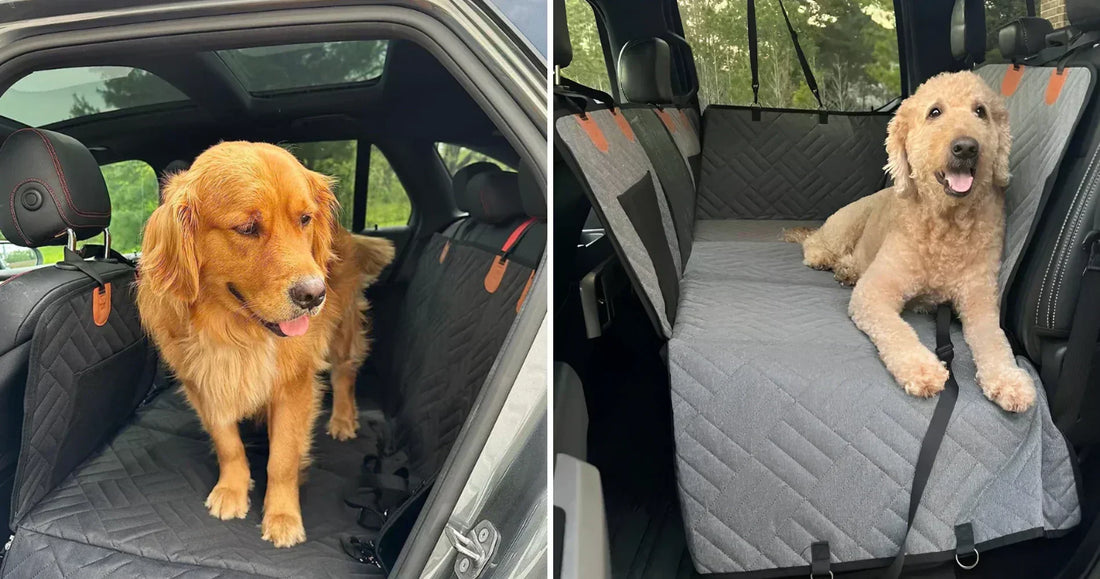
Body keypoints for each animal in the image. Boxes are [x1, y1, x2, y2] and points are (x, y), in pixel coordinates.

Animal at [787, 72, 1034, 416]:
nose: (967, 147)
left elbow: (995, 341)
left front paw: (1009, 379)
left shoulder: (980, 301)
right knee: (816, 241)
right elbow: (896, 329)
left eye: (980, 111)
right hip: (847, 222)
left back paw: (847, 270)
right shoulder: (873, 293)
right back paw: (824, 257)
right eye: (935, 112)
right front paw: (921, 368)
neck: (946, 224)